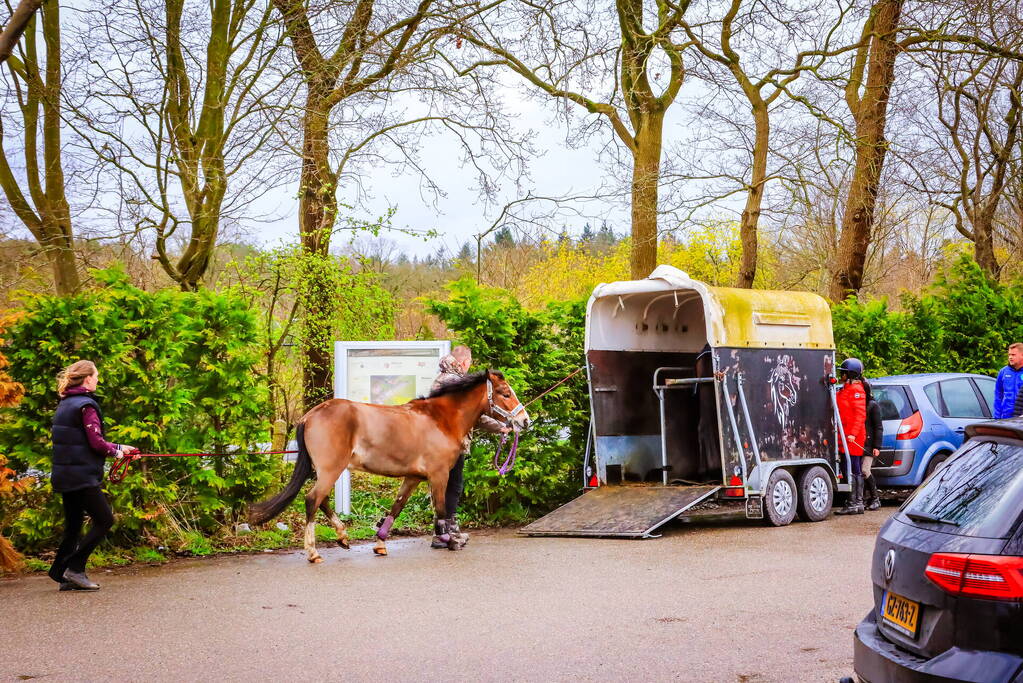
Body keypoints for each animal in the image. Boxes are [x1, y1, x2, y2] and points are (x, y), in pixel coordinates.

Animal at [249, 369, 530, 562]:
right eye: (506, 393)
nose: (525, 421)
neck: (440, 419)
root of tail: (309, 416)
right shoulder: (438, 475)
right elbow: (440, 509)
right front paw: (449, 540)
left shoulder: (413, 477)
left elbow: (397, 506)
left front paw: (380, 543)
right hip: (331, 469)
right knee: (312, 500)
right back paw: (313, 551)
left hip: (325, 471)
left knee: (322, 500)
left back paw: (343, 536)